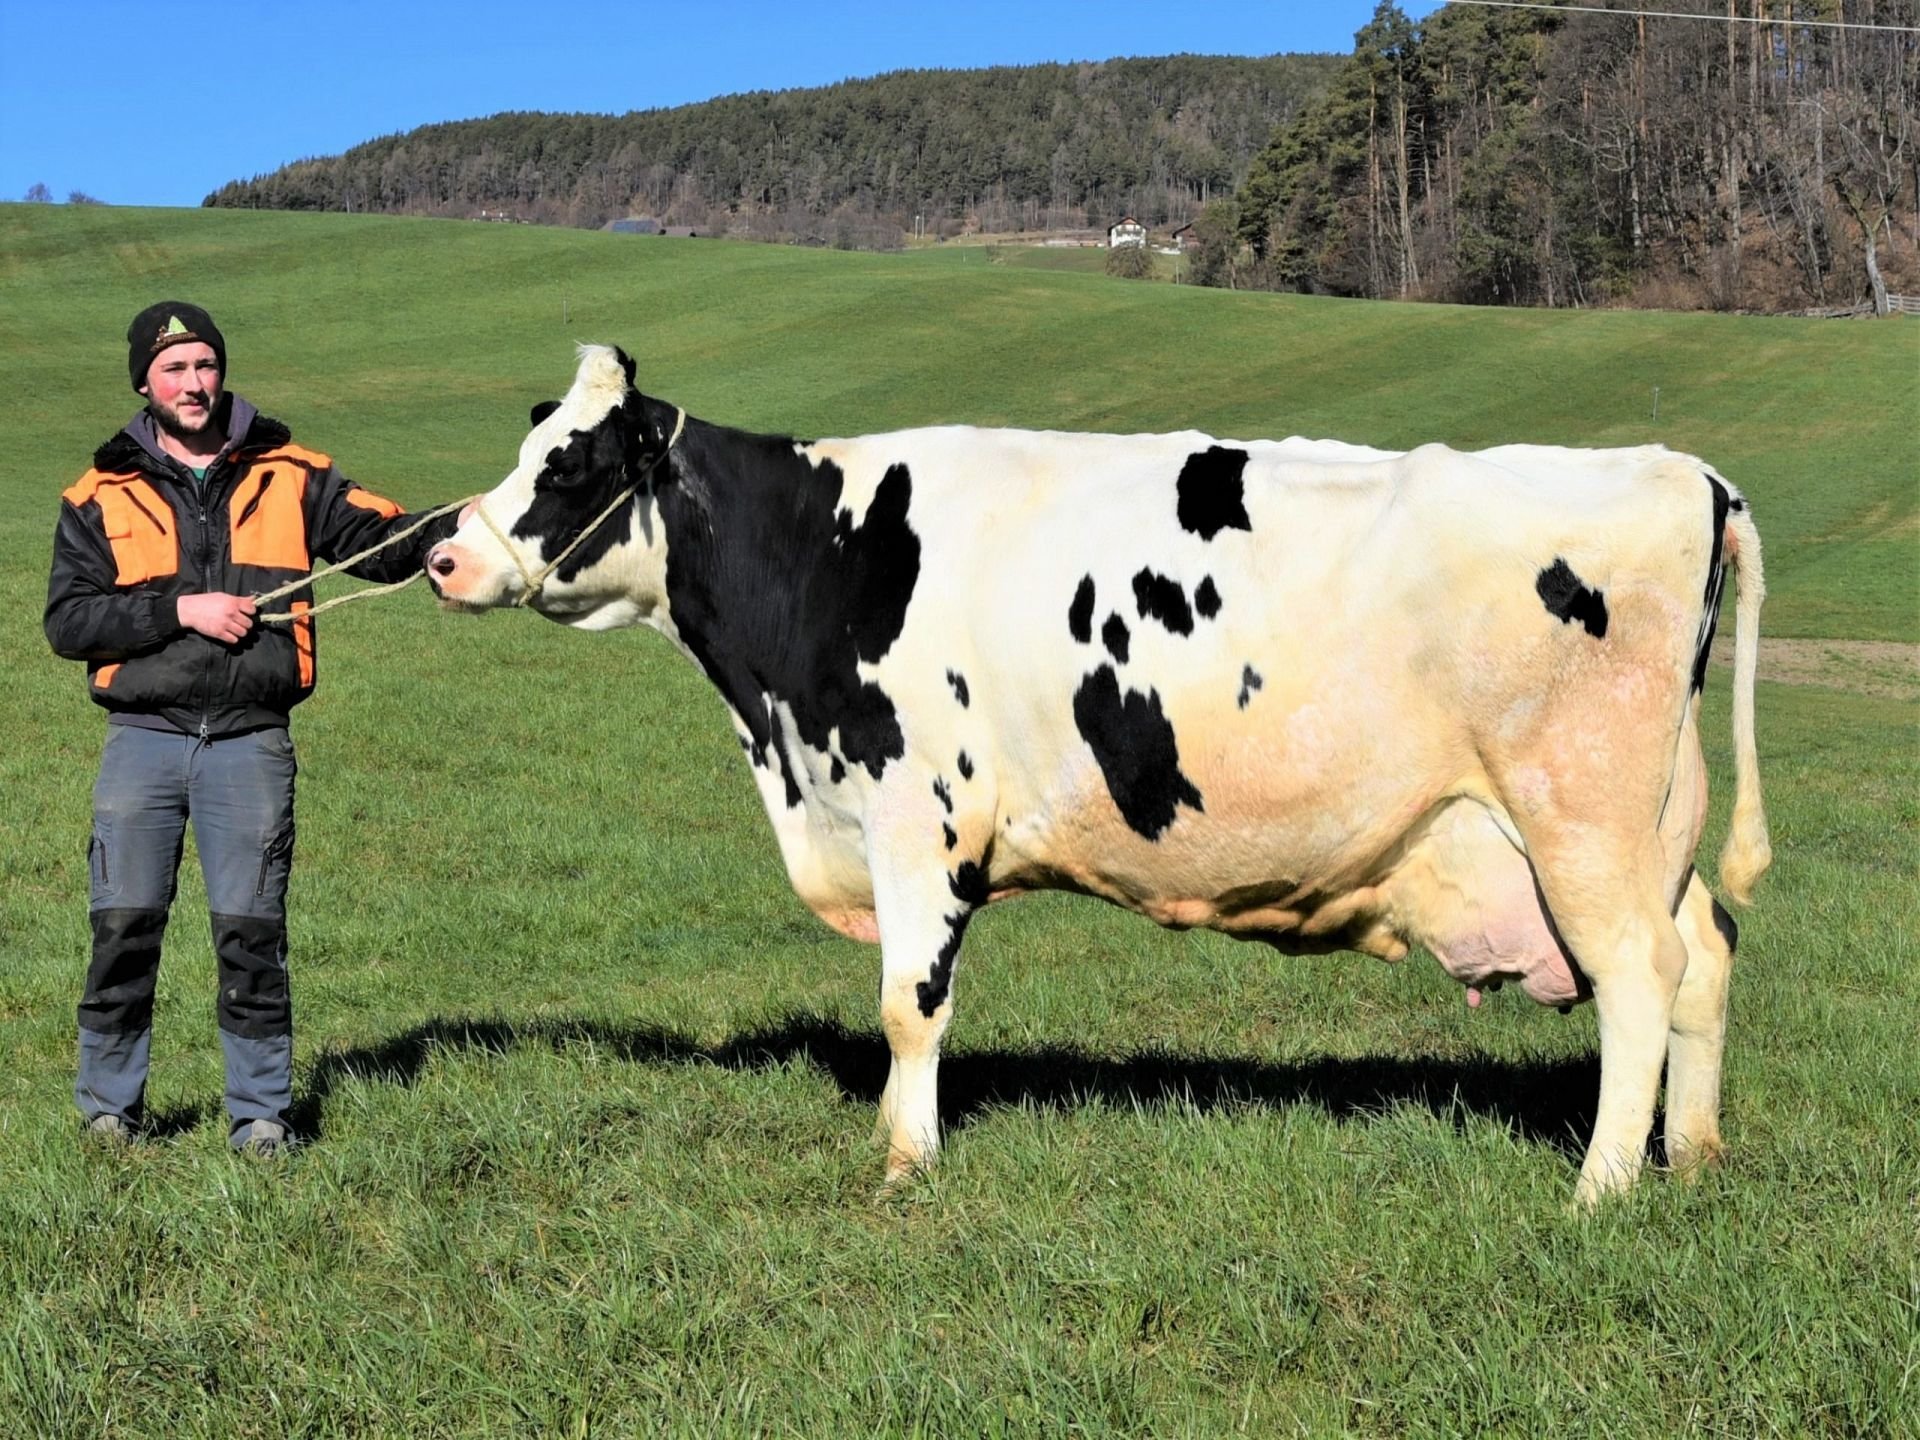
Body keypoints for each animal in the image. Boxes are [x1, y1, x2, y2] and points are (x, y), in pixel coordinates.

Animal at [432, 347, 1766, 1205]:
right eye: (532, 446)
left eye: (569, 467)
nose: (443, 556)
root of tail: (1688, 473)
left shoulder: (918, 817)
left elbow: (908, 1005)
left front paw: (906, 1165)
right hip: (1657, 826)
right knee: (1706, 951)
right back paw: (1693, 1158)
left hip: (1581, 817)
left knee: (1639, 978)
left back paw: (1602, 1191)